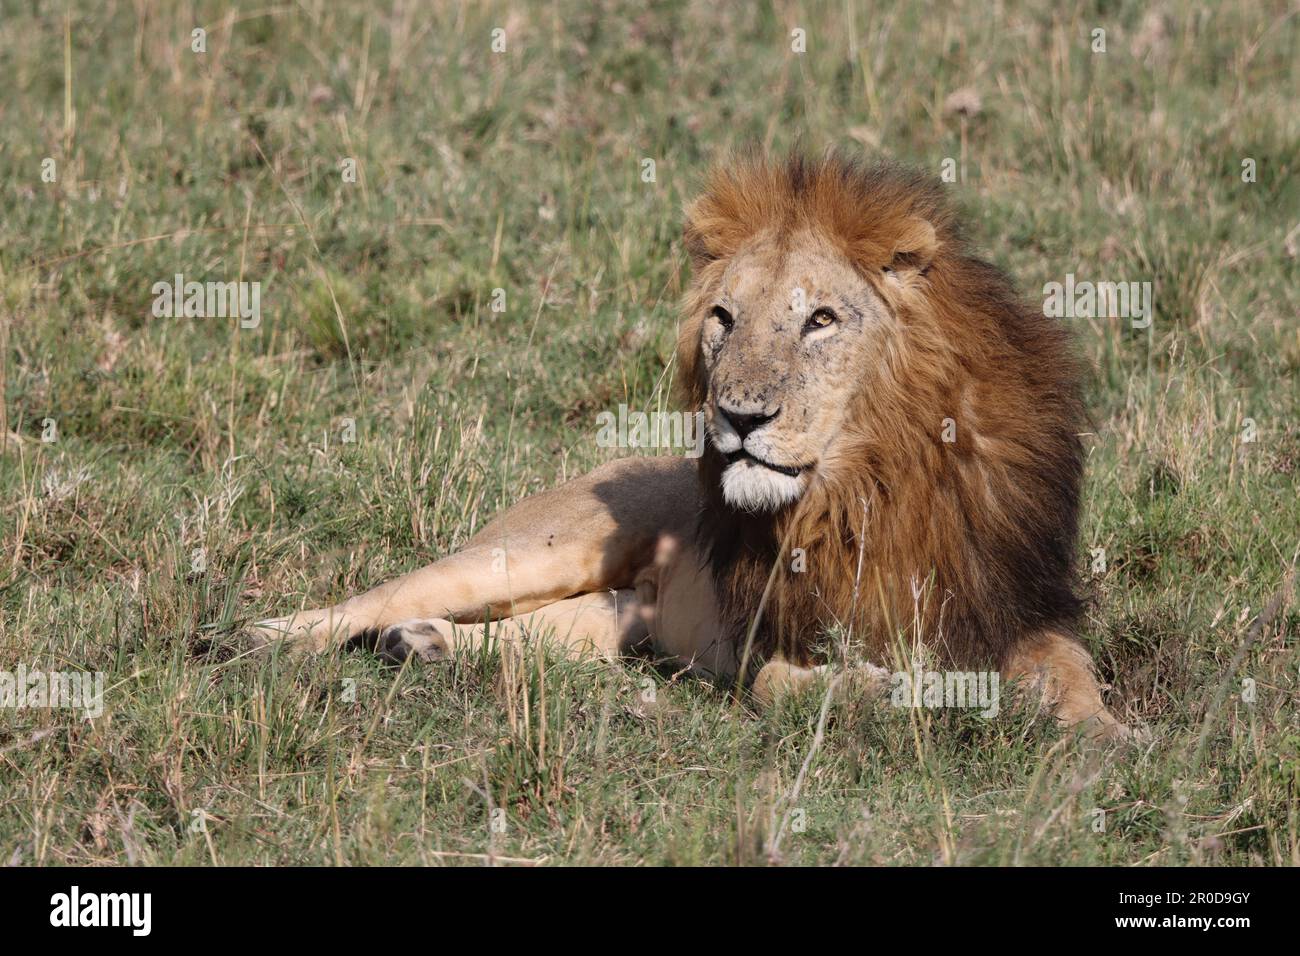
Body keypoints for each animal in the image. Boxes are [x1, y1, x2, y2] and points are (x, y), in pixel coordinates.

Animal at [249, 152, 1126, 740]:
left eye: (820, 320)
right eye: (723, 320)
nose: (737, 417)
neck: (870, 481)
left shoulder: (1015, 604)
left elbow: (1072, 670)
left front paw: (1103, 736)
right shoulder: (768, 639)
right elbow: (792, 687)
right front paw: (891, 691)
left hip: (611, 621)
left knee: (522, 636)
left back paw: (423, 646)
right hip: (528, 551)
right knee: (369, 599)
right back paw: (262, 640)